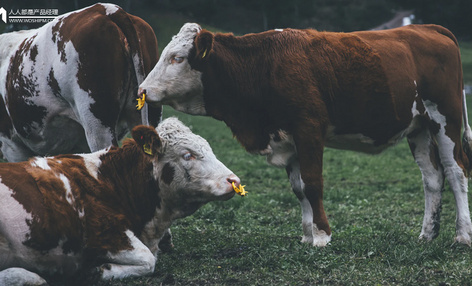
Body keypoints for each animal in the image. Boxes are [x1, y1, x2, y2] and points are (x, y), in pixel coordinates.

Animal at [138, 22, 472, 246]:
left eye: (178, 58)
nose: (142, 89)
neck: (263, 66)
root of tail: (429, 28)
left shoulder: (308, 129)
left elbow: (312, 183)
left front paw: (322, 235)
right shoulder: (288, 139)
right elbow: (299, 189)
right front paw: (307, 235)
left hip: (446, 119)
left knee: (456, 171)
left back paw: (462, 235)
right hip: (419, 128)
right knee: (432, 178)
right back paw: (427, 234)